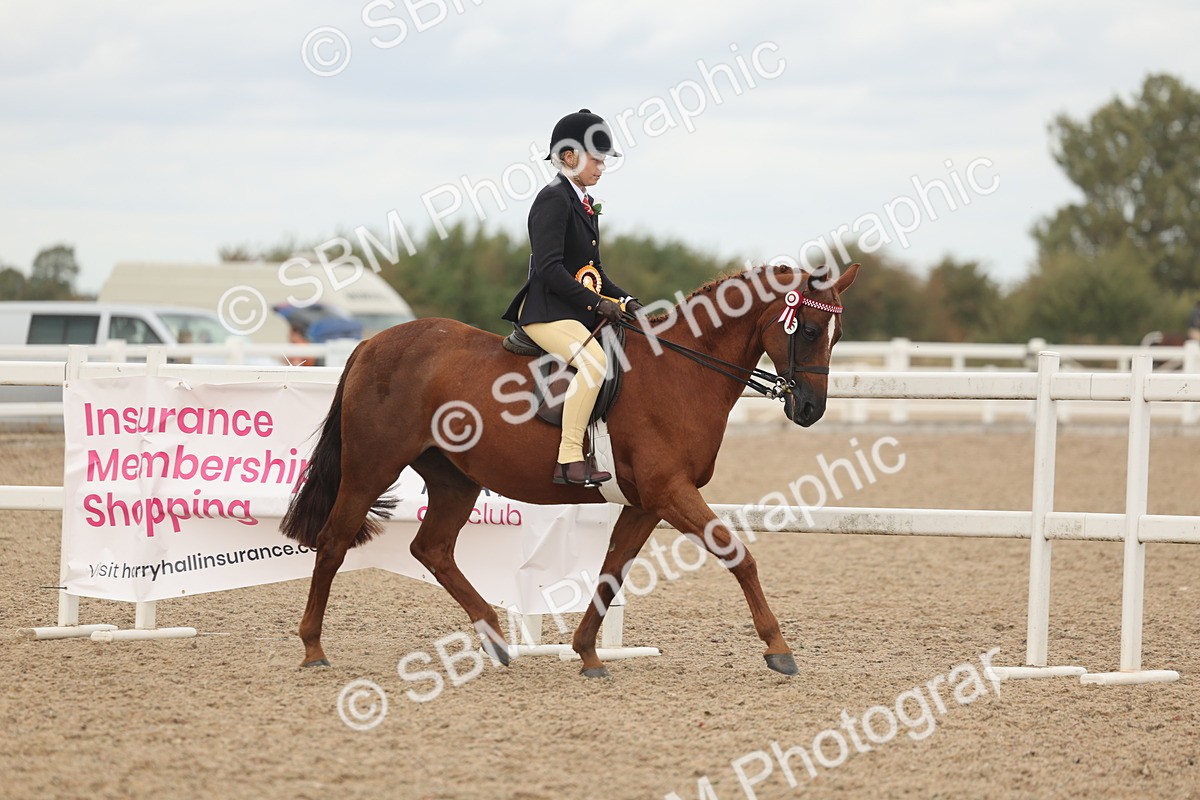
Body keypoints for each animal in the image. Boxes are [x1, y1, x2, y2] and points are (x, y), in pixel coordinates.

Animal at [281, 263, 859, 677]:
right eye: (809, 329)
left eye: (835, 335)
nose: (811, 409)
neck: (680, 370)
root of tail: (372, 343)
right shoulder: (670, 492)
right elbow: (739, 556)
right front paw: (779, 649)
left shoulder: (648, 502)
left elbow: (613, 568)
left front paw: (587, 653)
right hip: (370, 467)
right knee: (333, 541)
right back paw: (313, 649)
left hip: (454, 479)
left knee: (432, 549)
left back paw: (495, 639)